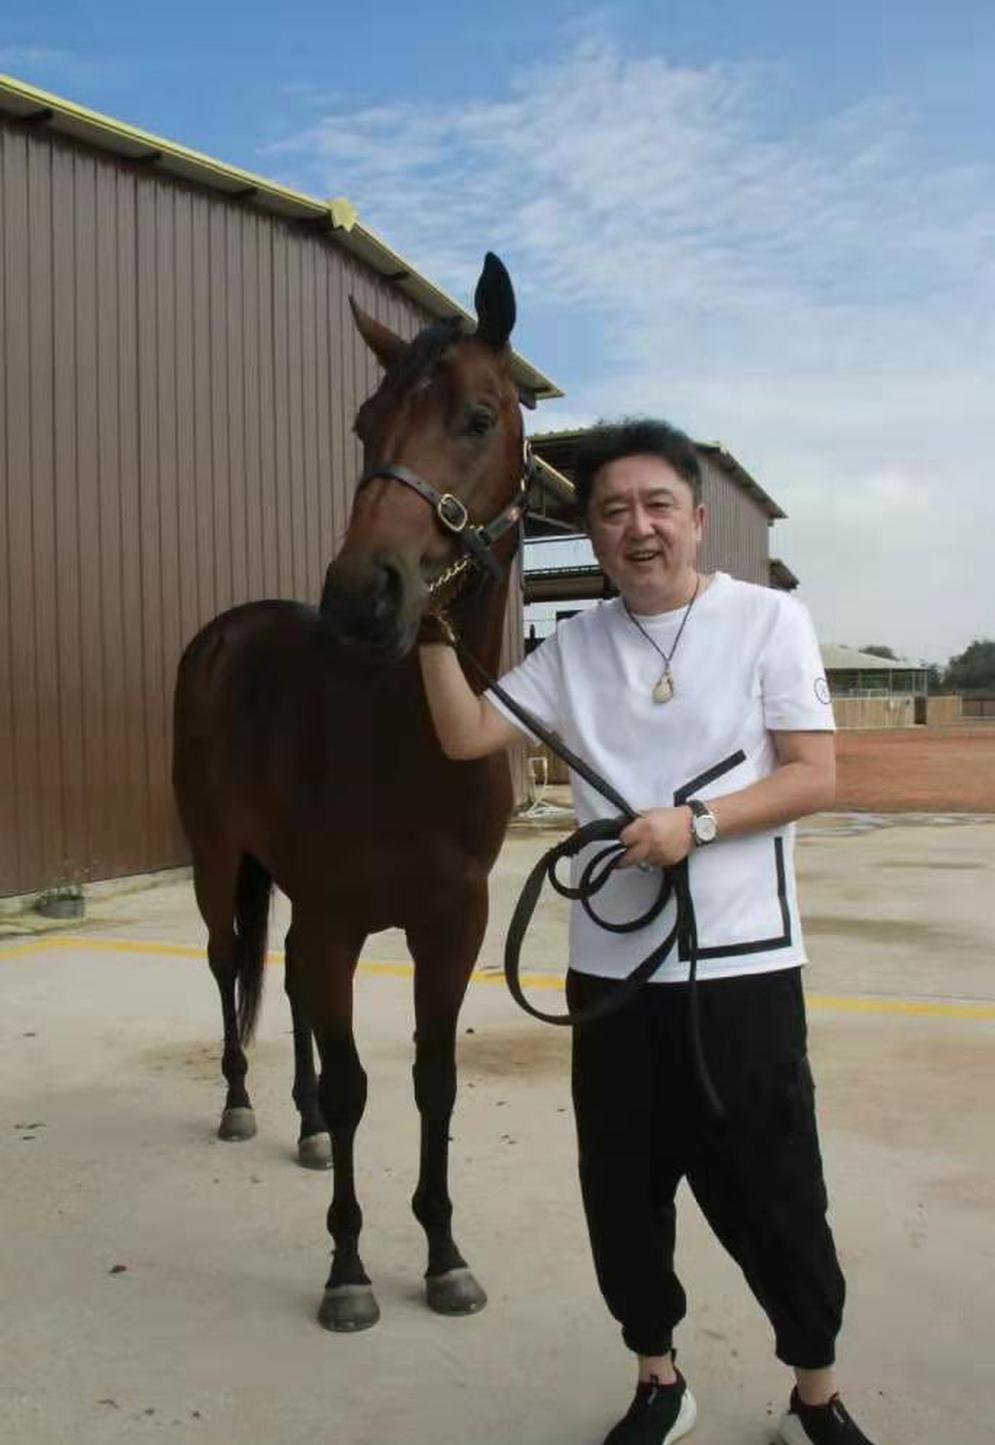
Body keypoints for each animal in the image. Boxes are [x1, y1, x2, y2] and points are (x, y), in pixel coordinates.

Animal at [172, 253, 534, 1332]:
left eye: (477, 416)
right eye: (363, 425)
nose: (360, 596)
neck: (406, 740)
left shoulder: (451, 922)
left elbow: (430, 1082)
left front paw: (445, 1254)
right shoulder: (336, 920)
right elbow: (353, 1084)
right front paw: (346, 1270)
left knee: (283, 985)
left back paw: (298, 1126)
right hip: (219, 862)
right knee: (231, 966)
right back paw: (242, 1102)